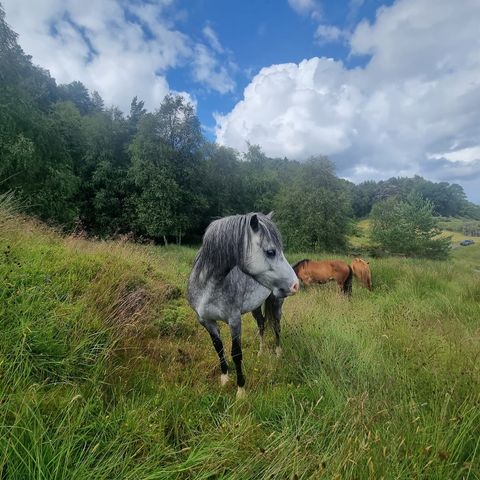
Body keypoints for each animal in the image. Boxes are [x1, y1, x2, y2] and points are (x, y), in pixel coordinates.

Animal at [187, 214, 296, 398]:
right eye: (270, 252)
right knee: (261, 324)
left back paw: (278, 353)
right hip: (255, 307)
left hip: (276, 304)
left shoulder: (234, 321)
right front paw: (224, 378)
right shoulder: (206, 321)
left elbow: (236, 353)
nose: (296, 284)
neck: (208, 287)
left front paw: (241, 391)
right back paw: (260, 352)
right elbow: (218, 348)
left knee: (276, 326)